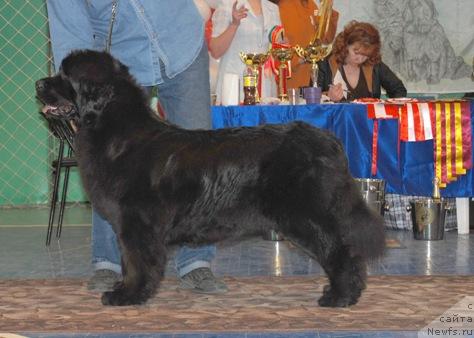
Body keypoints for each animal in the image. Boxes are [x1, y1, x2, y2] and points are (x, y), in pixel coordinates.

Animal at [37, 49, 386, 306]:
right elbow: (130, 261)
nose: (40, 83)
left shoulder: (136, 222)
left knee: (340, 250)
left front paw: (128, 295)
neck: (116, 132)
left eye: (66, 76)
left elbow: (136, 262)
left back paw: (339, 297)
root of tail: (327, 140)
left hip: (304, 215)